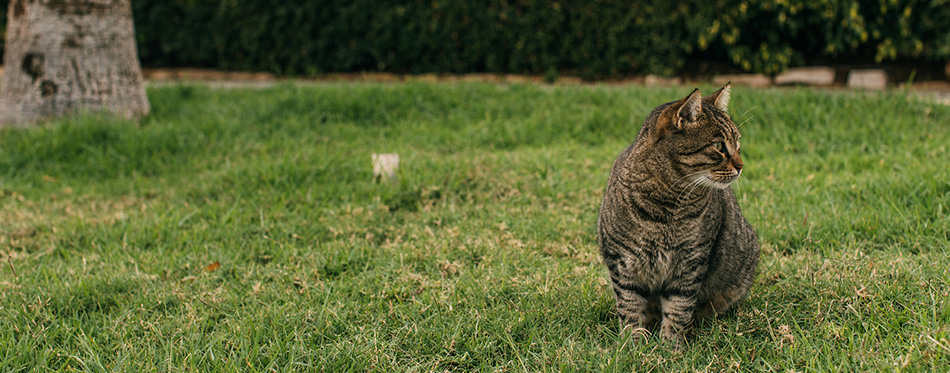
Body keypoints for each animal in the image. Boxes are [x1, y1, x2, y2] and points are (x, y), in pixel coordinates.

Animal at [600, 83, 764, 348]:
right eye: (719, 146)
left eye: (737, 144)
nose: (741, 166)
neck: (665, 205)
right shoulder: (621, 261)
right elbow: (630, 306)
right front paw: (632, 345)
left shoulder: (691, 262)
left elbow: (679, 307)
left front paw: (671, 347)